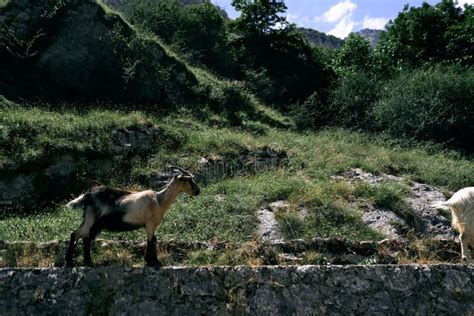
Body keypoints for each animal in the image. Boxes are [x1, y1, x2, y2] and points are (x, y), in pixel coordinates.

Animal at [64, 168, 198, 266]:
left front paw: (153, 261)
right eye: (188, 180)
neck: (159, 200)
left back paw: (78, 261)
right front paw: (151, 262)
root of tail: (88, 195)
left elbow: (154, 240)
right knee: (81, 236)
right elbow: (150, 241)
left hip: (93, 222)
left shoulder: (153, 225)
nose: (198, 191)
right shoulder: (149, 224)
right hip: (92, 219)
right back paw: (80, 262)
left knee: (79, 236)